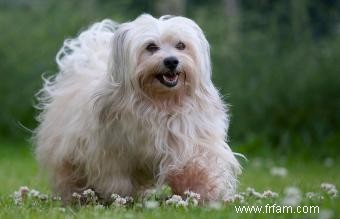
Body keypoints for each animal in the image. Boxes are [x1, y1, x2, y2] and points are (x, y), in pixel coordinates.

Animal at [34, 14, 240, 204]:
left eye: (181, 45)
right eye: (151, 47)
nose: (171, 61)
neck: (160, 102)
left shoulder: (189, 138)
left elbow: (194, 166)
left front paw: (199, 192)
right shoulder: (111, 151)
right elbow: (117, 179)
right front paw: (119, 198)